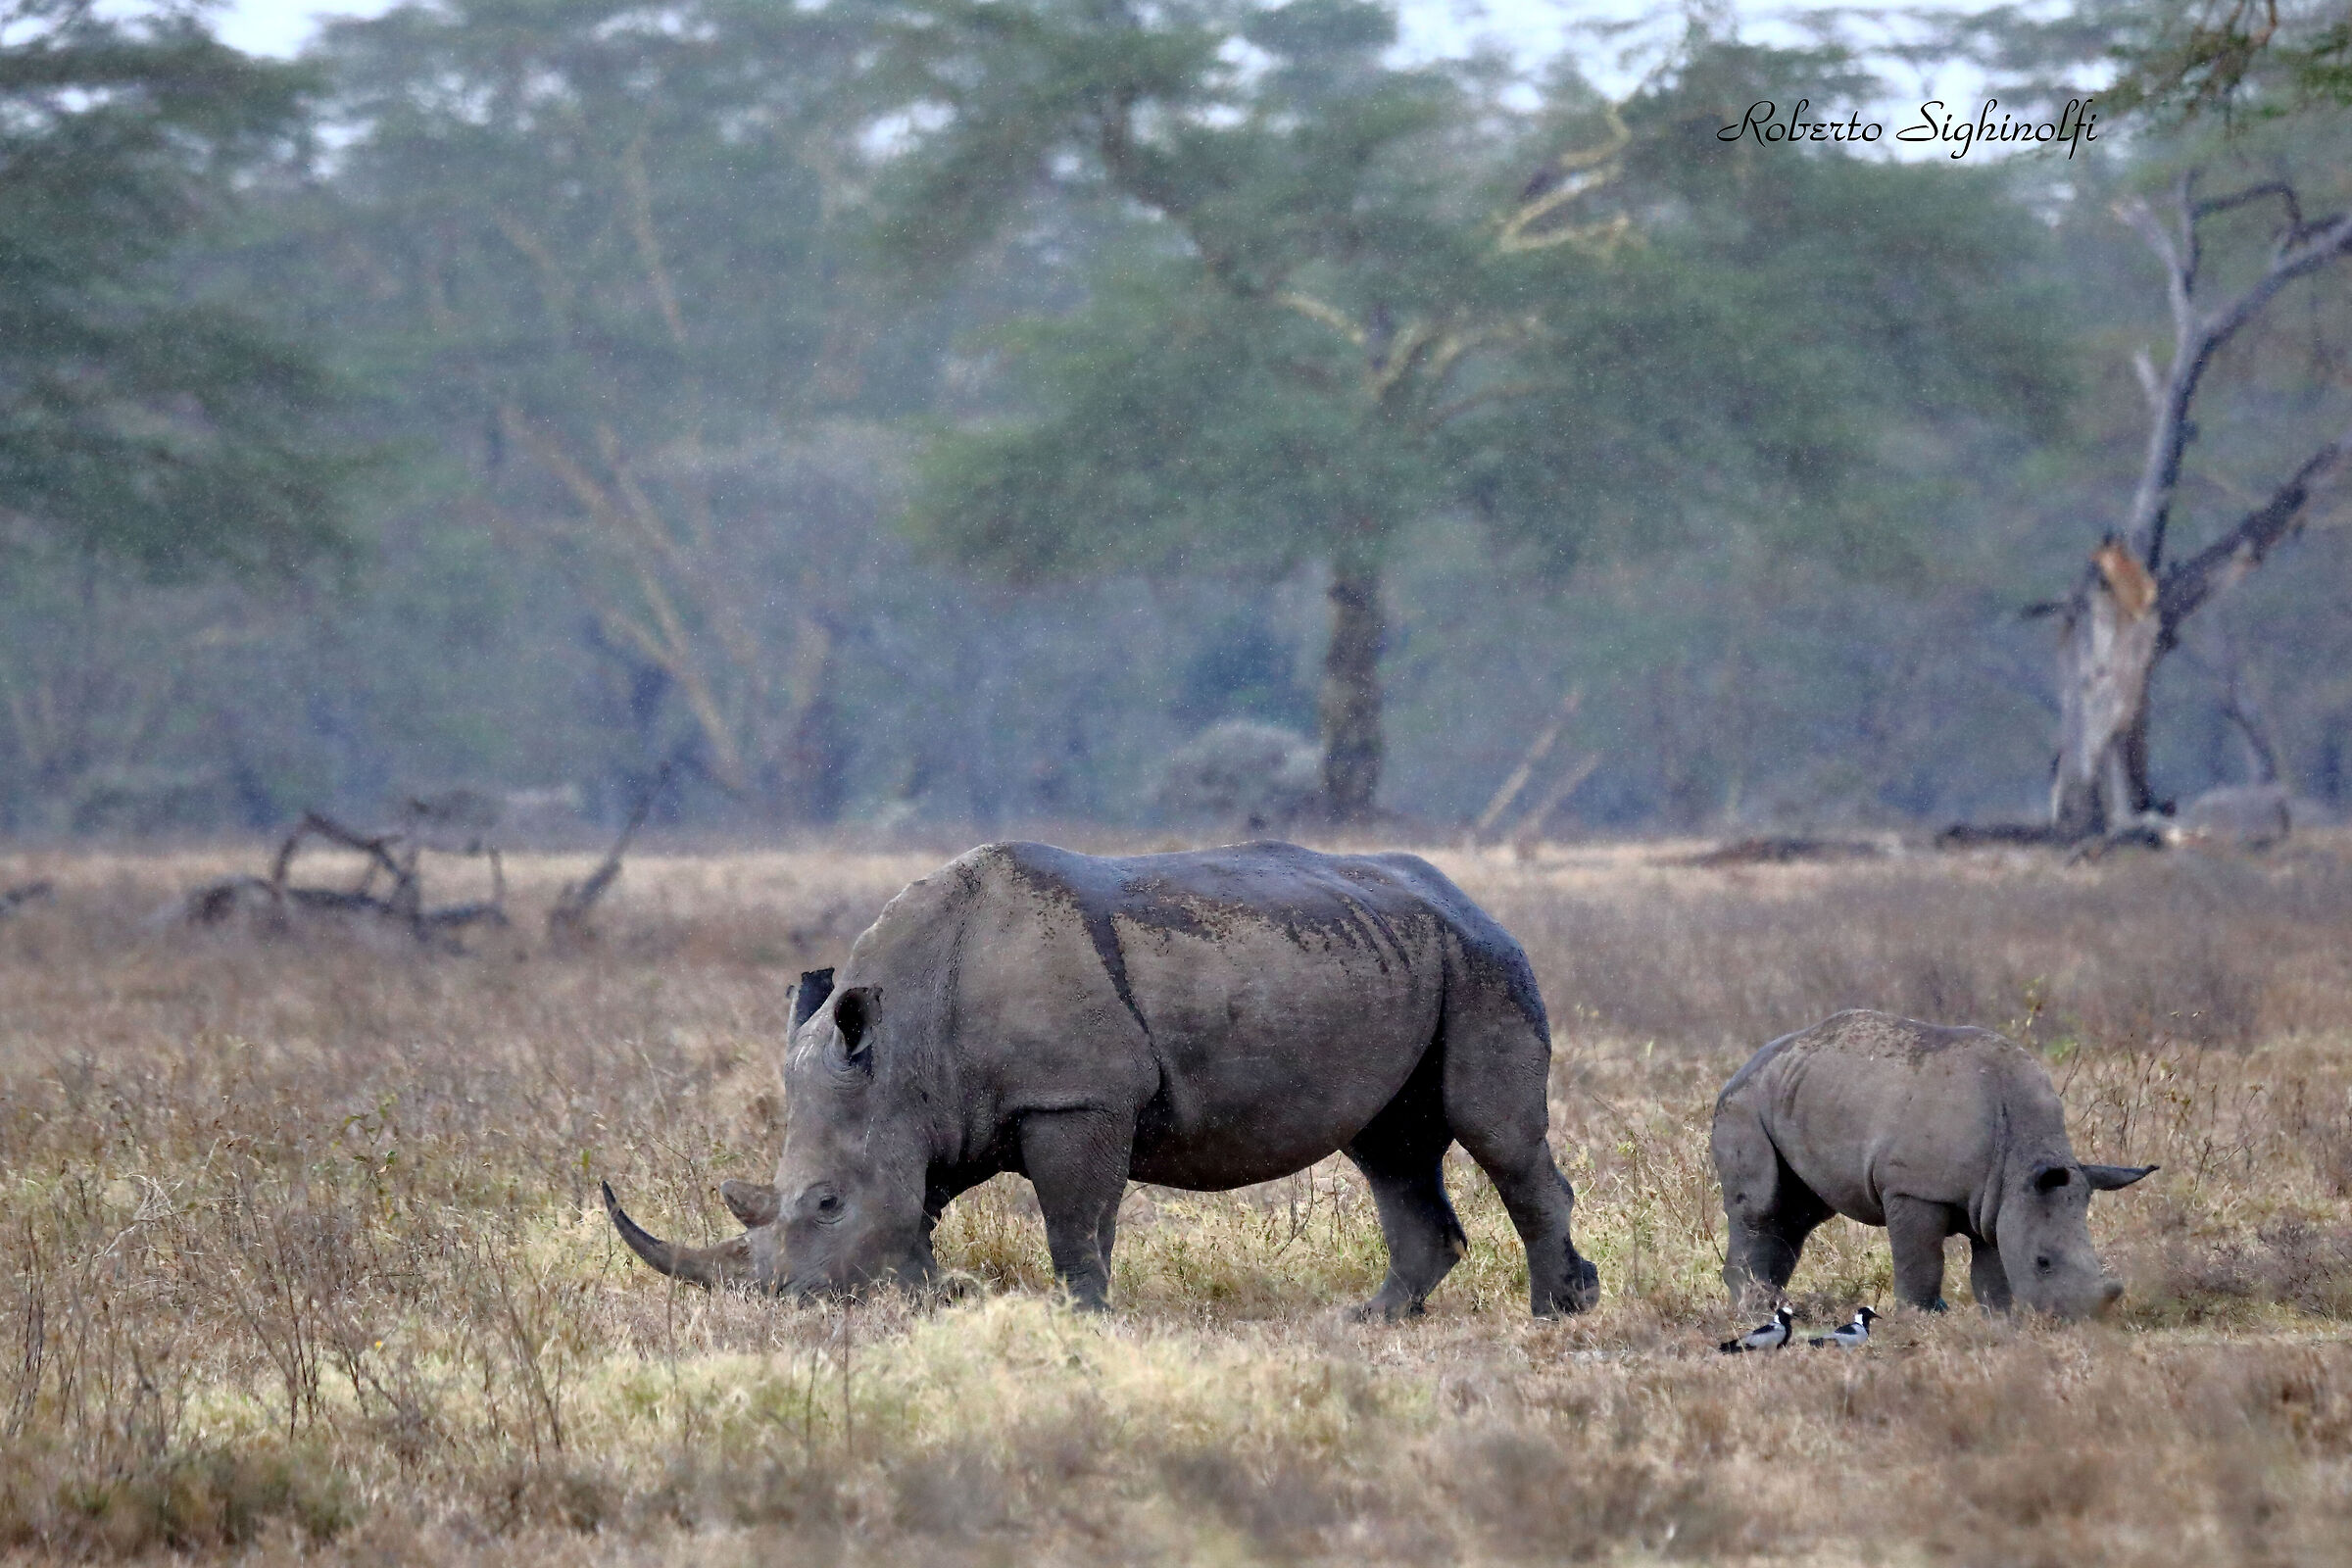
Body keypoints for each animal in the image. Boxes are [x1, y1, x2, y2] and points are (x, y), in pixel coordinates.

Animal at [603, 840, 1600, 1318]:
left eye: (824, 1205)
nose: (791, 1302)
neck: (910, 1047)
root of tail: (1471, 899)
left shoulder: (1077, 1097)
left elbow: (1076, 1225)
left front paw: (1081, 1319)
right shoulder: (936, 1110)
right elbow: (925, 1206)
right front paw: (938, 1294)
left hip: (1482, 962)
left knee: (1496, 1134)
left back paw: (1557, 1314)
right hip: (1402, 951)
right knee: (1390, 1145)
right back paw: (1368, 1320)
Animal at [1712, 1010, 2154, 1317]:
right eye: (2043, 1263)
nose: (2078, 1322)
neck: (2020, 1160)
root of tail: (1742, 1068)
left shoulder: (1995, 1198)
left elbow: (1992, 1270)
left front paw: (2000, 1321)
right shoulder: (1912, 1189)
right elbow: (1921, 1261)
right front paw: (1919, 1318)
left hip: (1797, 1092)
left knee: (1799, 1213)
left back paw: (1772, 1306)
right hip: (1744, 1101)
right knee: (1762, 1206)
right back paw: (1753, 1310)